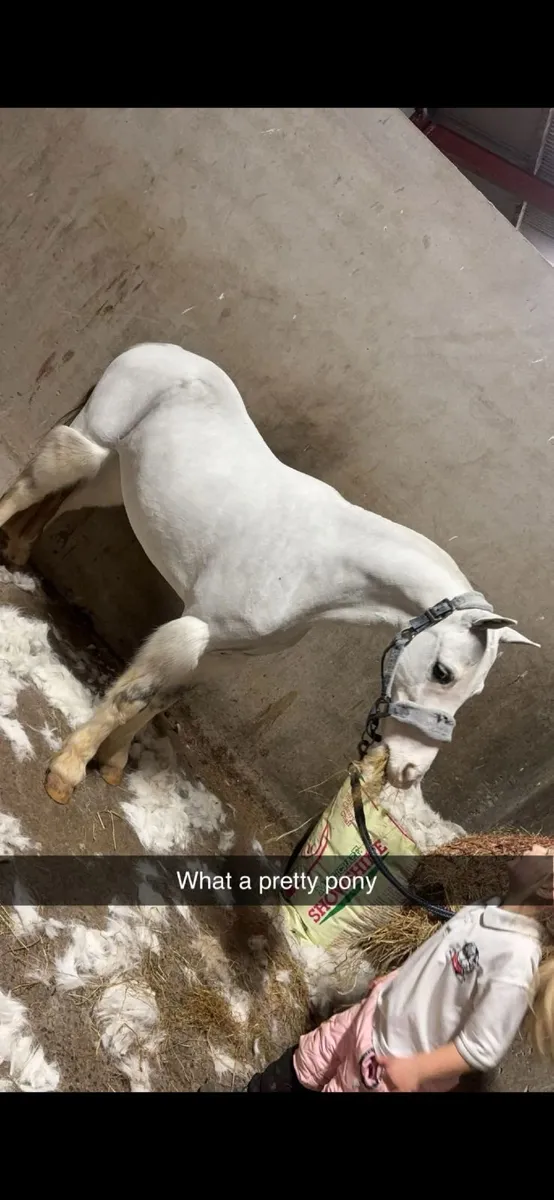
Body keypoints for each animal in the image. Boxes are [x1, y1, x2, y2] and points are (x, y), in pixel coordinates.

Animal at [0, 342, 538, 805]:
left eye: (476, 692)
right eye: (443, 672)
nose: (409, 771)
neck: (315, 568)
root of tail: (158, 349)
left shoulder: (223, 655)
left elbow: (164, 700)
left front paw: (112, 765)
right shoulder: (192, 630)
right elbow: (134, 697)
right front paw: (68, 772)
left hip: (114, 476)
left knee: (62, 499)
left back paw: (19, 552)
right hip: (93, 442)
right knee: (31, 487)